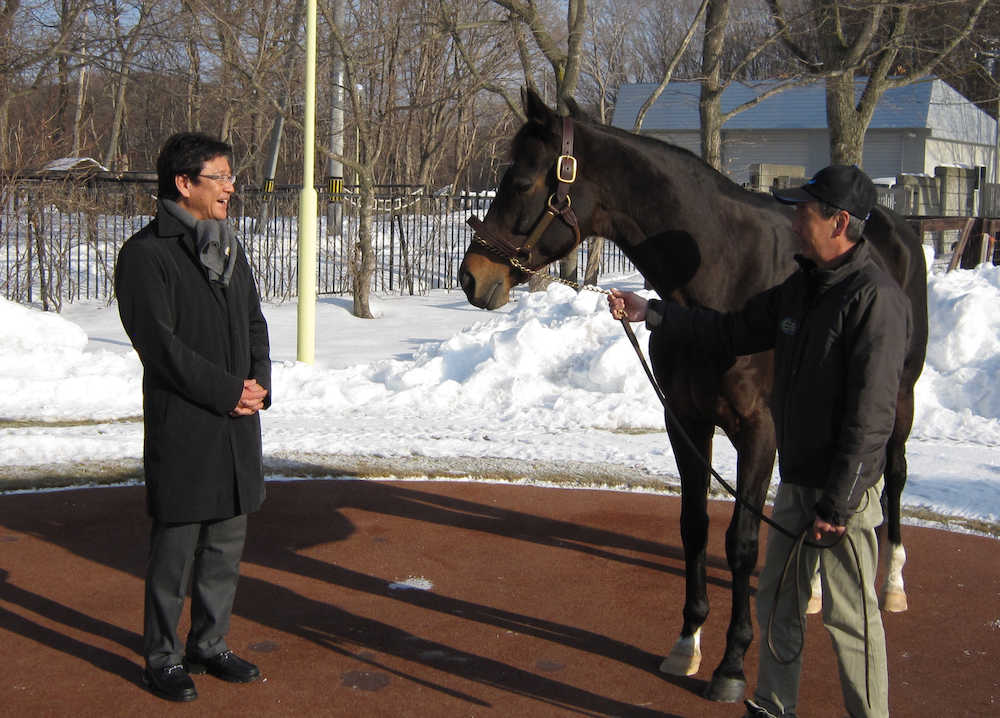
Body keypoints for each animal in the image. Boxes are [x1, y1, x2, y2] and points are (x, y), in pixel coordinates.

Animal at [460, 88, 928, 704]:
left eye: (519, 182)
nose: (471, 277)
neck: (722, 274)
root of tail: (896, 226)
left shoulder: (759, 432)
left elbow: (743, 541)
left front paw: (731, 663)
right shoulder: (686, 422)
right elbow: (694, 527)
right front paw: (688, 642)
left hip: (898, 398)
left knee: (891, 474)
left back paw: (894, 582)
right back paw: (812, 591)